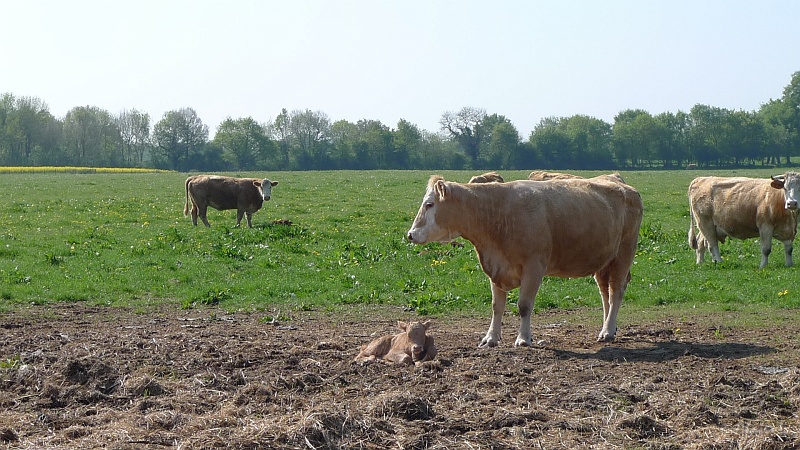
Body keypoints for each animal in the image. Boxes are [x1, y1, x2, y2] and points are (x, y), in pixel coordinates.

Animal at [406, 175, 644, 344]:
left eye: (429, 204)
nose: (410, 234)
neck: (498, 213)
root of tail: (618, 181)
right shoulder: (495, 267)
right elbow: (497, 306)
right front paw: (491, 337)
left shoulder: (534, 267)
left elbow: (524, 305)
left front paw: (523, 338)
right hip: (604, 261)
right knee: (605, 292)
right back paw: (607, 327)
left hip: (624, 254)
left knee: (616, 291)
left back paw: (608, 331)